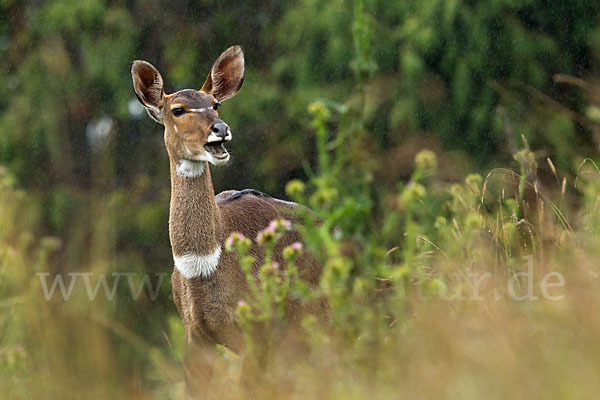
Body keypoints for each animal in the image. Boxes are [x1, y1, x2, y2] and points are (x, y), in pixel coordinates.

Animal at [131, 46, 326, 396]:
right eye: (178, 109)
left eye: (215, 104)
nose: (220, 129)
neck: (205, 264)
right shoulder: (196, 335)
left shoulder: (257, 331)